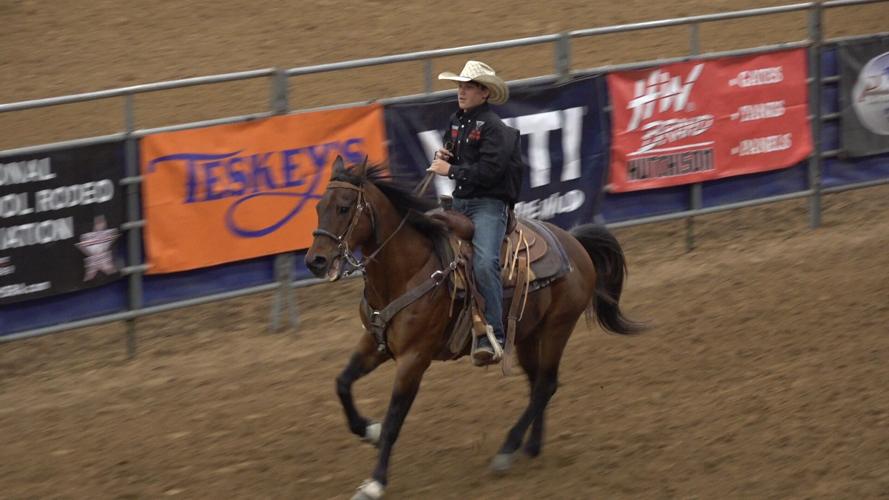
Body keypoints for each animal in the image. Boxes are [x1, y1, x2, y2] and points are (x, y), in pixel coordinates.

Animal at [306, 157, 640, 500]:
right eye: (319, 207)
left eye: (344, 207)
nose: (315, 261)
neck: (408, 271)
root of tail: (574, 243)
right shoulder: (374, 342)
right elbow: (342, 383)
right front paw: (367, 430)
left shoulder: (414, 359)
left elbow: (393, 421)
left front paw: (374, 483)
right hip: (527, 336)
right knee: (539, 384)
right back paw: (531, 446)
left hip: (556, 329)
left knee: (546, 384)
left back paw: (507, 449)